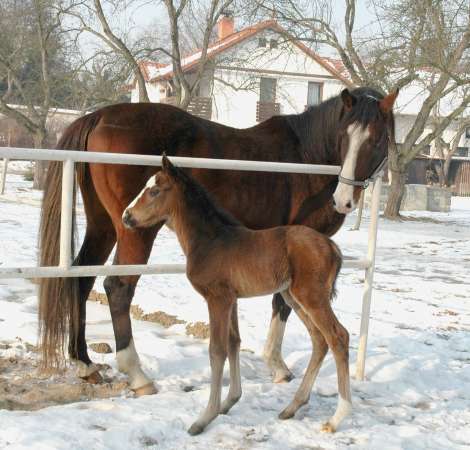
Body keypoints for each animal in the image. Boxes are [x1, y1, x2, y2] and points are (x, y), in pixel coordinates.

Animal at [123, 156, 350, 436]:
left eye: (154, 190)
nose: (126, 216)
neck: (210, 241)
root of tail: (332, 246)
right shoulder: (231, 299)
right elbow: (234, 342)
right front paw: (229, 402)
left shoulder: (217, 299)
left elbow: (217, 350)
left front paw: (204, 418)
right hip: (293, 297)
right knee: (320, 340)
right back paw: (292, 407)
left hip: (311, 297)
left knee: (338, 337)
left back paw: (336, 418)